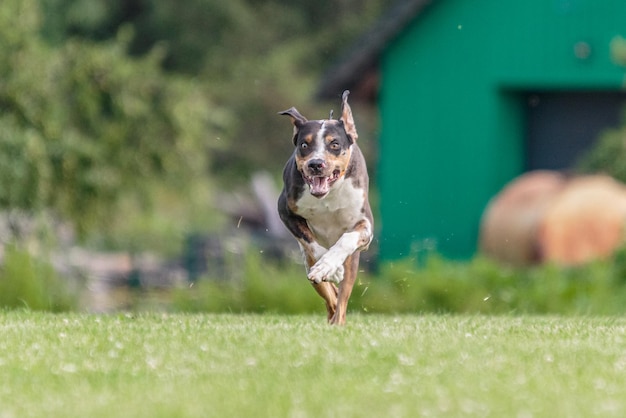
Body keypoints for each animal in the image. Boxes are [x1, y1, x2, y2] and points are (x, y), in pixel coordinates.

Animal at [276, 90, 370, 326]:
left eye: (334, 144)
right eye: (304, 145)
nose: (315, 164)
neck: (328, 195)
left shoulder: (364, 224)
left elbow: (346, 239)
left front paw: (331, 265)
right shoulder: (285, 210)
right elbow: (313, 246)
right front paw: (328, 268)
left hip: (353, 261)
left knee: (342, 298)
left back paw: (338, 321)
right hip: (307, 263)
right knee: (330, 294)